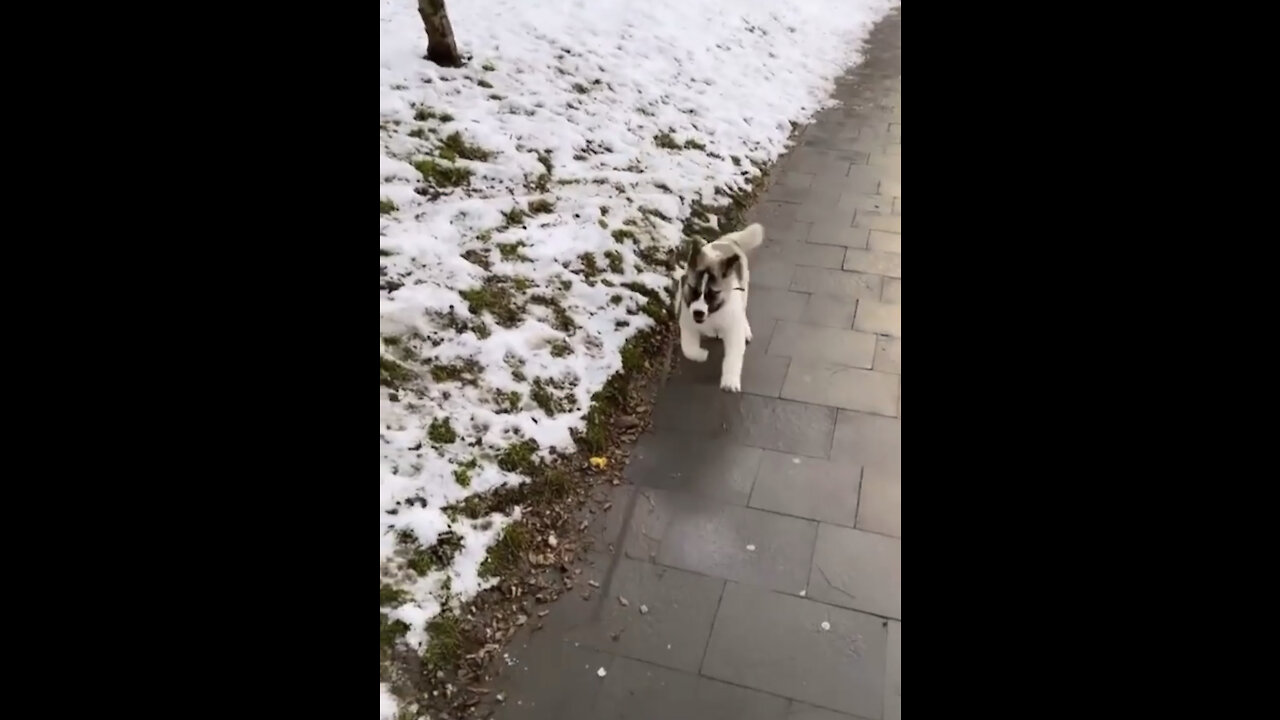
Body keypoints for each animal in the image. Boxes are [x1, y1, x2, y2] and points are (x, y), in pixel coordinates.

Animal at [675, 224, 762, 392]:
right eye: (694, 290)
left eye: (712, 294)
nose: (698, 312)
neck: (712, 315)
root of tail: (727, 240)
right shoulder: (688, 324)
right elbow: (688, 349)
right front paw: (701, 355)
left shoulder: (733, 330)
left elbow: (733, 356)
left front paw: (730, 380)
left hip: (744, 290)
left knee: (743, 310)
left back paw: (745, 328)